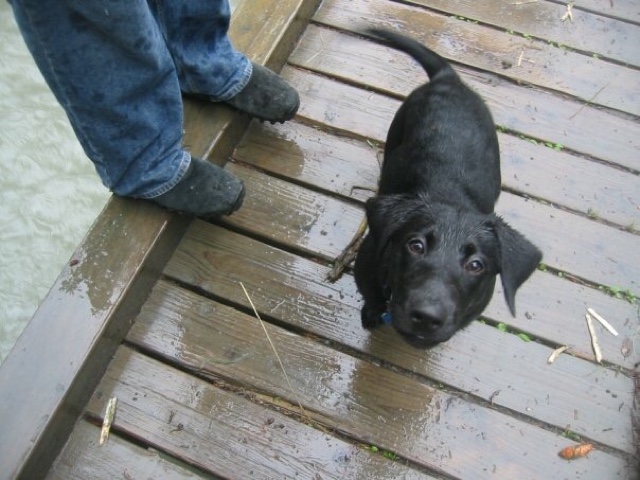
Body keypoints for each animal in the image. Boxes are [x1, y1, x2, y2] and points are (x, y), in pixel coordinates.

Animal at [352, 28, 544, 346]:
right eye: (415, 245)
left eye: (476, 265)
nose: (426, 317)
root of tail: (448, 79)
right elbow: (372, 299)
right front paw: (370, 314)